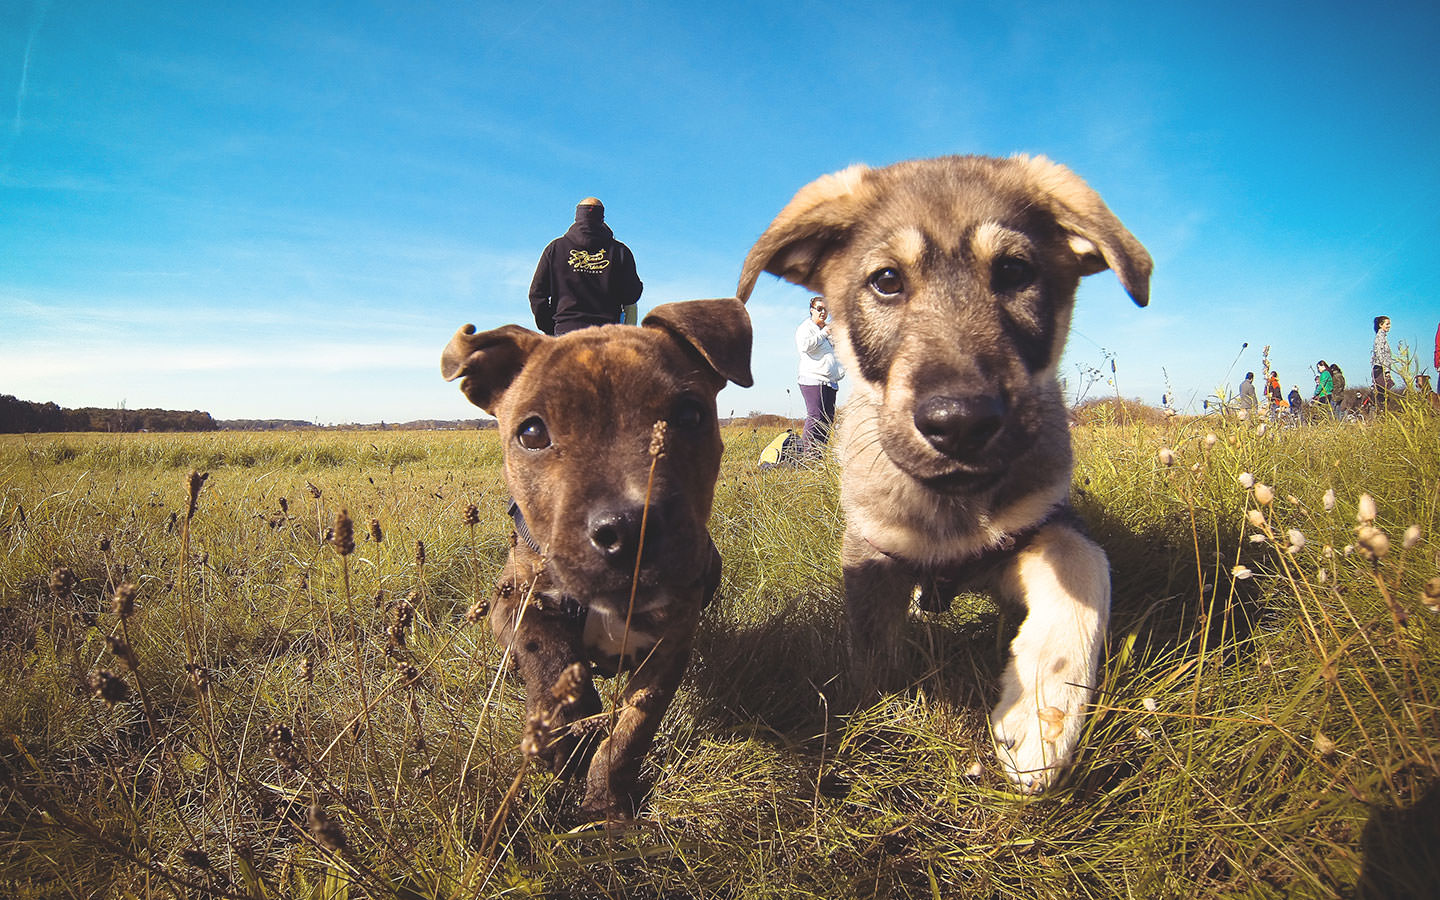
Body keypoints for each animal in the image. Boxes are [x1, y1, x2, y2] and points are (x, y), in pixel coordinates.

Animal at [437, 298, 754, 817]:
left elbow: (632, 730)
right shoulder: (515, 600)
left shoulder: (668, 645)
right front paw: (564, 730)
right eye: (531, 432)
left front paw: (606, 801)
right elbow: (545, 654)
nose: (628, 528)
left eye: (690, 415)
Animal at [737, 157, 1152, 789]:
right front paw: (882, 718)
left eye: (1014, 271)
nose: (959, 423)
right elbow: (875, 656)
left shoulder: (1041, 523)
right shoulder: (871, 552)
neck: (952, 509)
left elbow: (1085, 569)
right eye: (886, 280)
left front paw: (1042, 715)